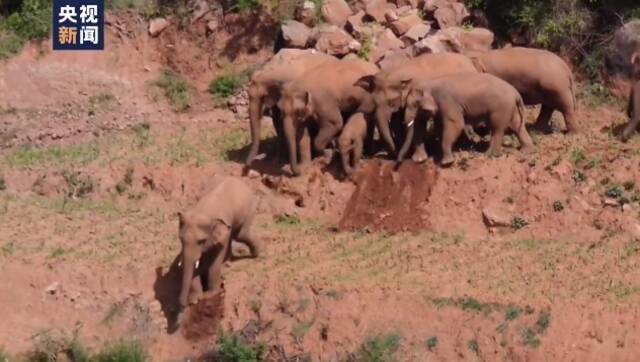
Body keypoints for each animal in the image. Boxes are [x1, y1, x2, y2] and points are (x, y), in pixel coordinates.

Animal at [175, 177, 260, 310]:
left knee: (240, 234)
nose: (184, 305)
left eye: (201, 241)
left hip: (249, 209)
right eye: (181, 239)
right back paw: (228, 261)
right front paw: (195, 299)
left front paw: (209, 294)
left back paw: (257, 254)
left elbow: (215, 259)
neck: (202, 211)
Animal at [400, 72, 536, 165]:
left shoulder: (447, 102)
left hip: (500, 108)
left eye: (414, 105)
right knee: (517, 126)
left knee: (497, 128)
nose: (400, 160)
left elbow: (456, 124)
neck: (431, 82)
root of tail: (515, 92)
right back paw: (526, 151)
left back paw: (490, 155)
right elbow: (437, 126)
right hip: (510, 108)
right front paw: (422, 159)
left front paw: (446, 162)